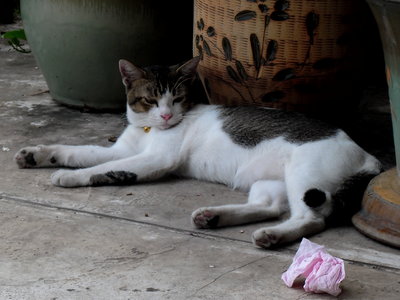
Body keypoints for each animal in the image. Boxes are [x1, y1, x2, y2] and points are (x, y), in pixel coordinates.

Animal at [14, 56, 382, 248]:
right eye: (151, 100)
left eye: (176, 99)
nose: (165, 116)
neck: (148, 131)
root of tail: (368, 157)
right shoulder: (121, 150)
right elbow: (78, 151)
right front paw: (38, 154)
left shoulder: (157, 158)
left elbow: (94, 168)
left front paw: (73, 176)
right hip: (269, 181)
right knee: (271, 206)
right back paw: (214, 216)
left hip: (304, 176)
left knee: (311, 218)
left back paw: (272, 236)